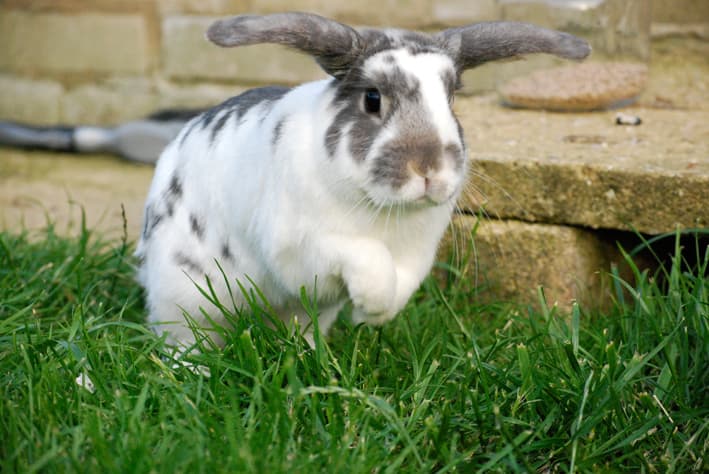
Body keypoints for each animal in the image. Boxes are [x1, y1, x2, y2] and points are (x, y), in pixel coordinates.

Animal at [136, 12, 590, 349]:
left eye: (451, 99)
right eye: (372, 99)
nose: (429, 168)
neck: (379, 206)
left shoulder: (416, 253)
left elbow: (401, 282)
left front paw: (375, 314)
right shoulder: (305, 246)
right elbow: (369, 259)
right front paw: (369, 306)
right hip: (184, 295)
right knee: (182, 339)